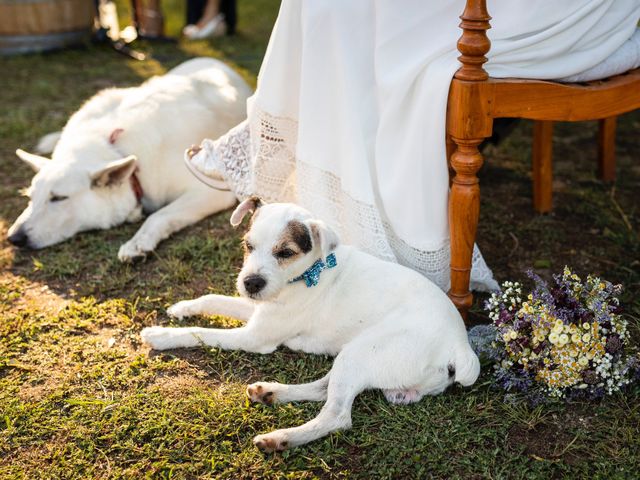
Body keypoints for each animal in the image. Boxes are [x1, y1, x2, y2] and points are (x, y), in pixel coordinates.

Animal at [8, 57, 248, 260]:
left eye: (58, 198)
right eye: (30, 198)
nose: (13, 238)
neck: (114, 148)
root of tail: (215, 61)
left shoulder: (211, 191)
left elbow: (158, 215)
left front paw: (138, 242)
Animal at [141, 197, 480, 452]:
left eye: (285, 252)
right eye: (248, 245)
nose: (251, 283)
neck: (308, 273)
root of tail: (460, 346)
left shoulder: (255, 337)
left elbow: (201, 333)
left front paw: (161, 334)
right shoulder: (258, 309)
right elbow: (212, 298)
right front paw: (182, 307)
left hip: (363, 351)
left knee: (336, 415)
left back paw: (280, 438)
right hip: (358, 357)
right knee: (323, 388)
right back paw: (271, 392)